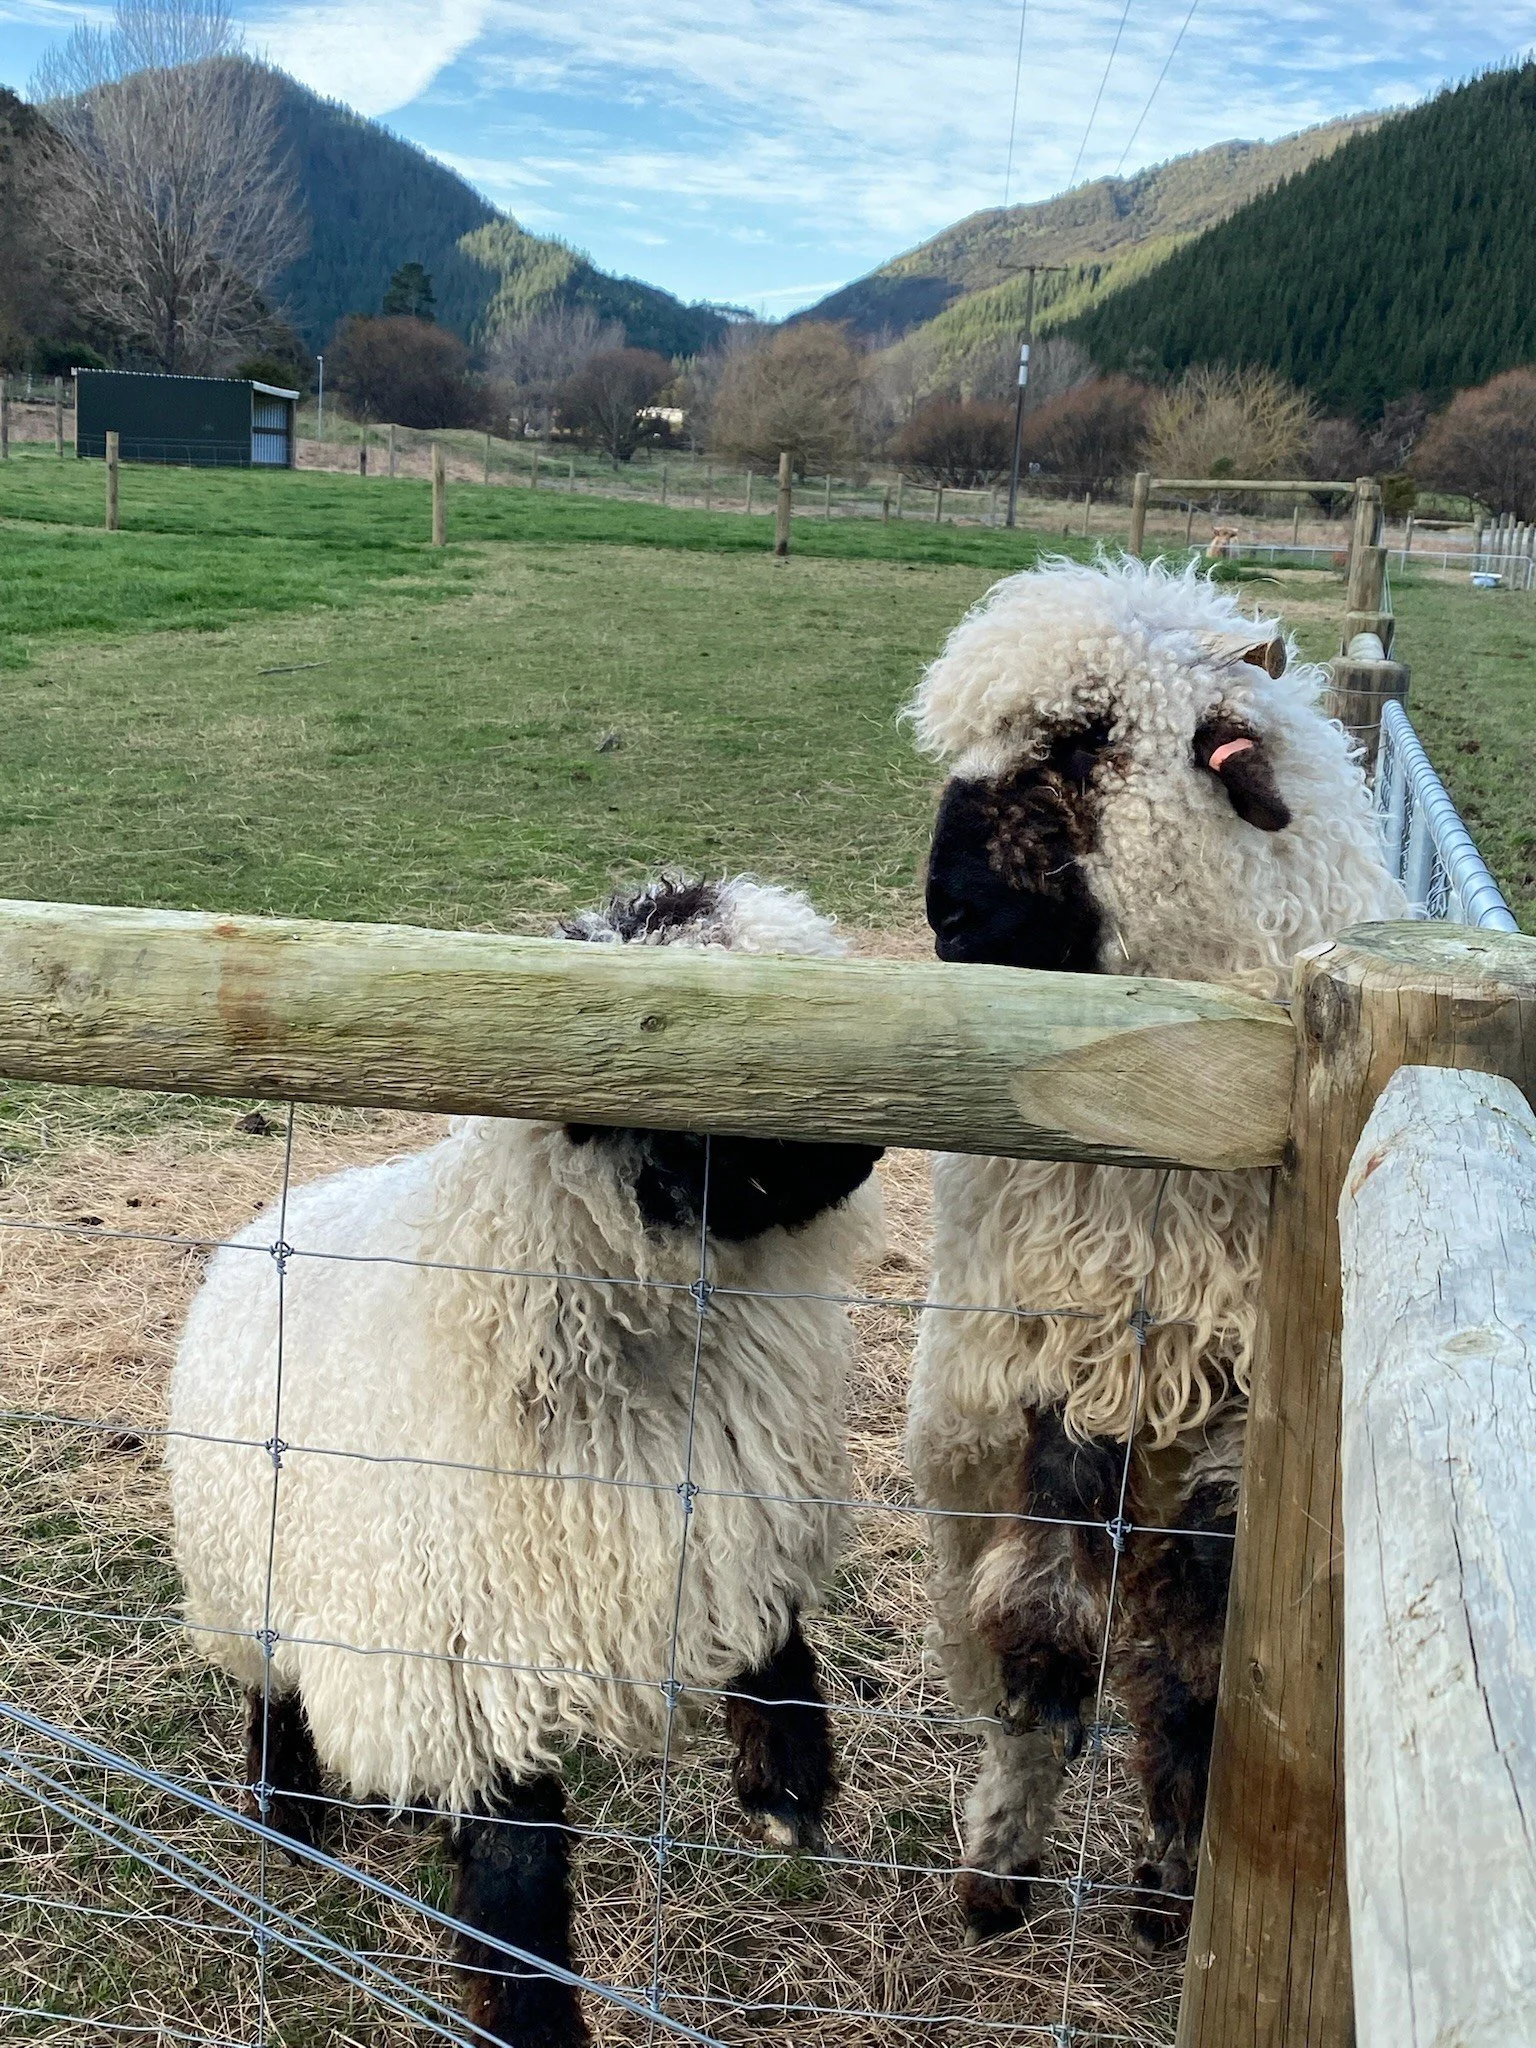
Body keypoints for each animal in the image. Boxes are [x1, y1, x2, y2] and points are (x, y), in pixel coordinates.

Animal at [165, 874, 884, 2048]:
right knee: (274, 1690)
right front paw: (533, 2017)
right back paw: (292, 1813)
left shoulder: (725, 1505)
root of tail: (279, 1209)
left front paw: (787, 1790)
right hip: (247, 1575)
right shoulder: (455, 1651)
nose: (866, 1147)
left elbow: (770, 1634)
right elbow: (515, 1873)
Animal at [902, 556, 1403, 1952]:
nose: (946, 912)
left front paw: (1174, 1885)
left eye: (1083, 738)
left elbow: (1194, 1674)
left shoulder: (1231, 1428)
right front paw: (1006, 1848)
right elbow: (1036, 1626)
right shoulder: (1048, 1375)